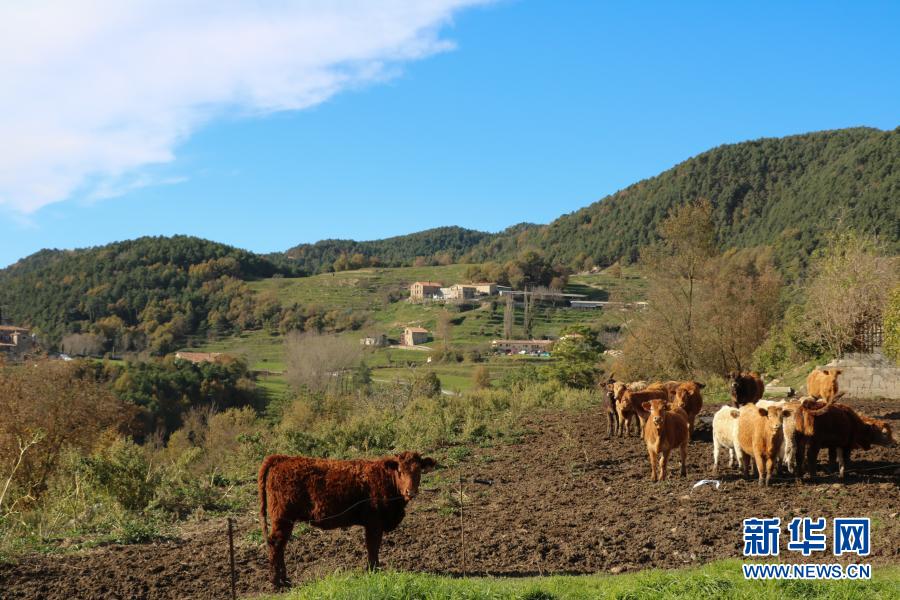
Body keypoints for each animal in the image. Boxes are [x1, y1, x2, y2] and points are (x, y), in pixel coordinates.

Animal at [256, 452, 436, 588]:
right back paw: (276, 582)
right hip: (282, 518)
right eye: (400, 470)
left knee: (280, 547)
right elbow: (373, 547)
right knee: (276, 545)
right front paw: (373, 571)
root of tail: (281, 458)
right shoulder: (374, 523)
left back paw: (285, 580)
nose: (410, 491)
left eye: (419, 471)